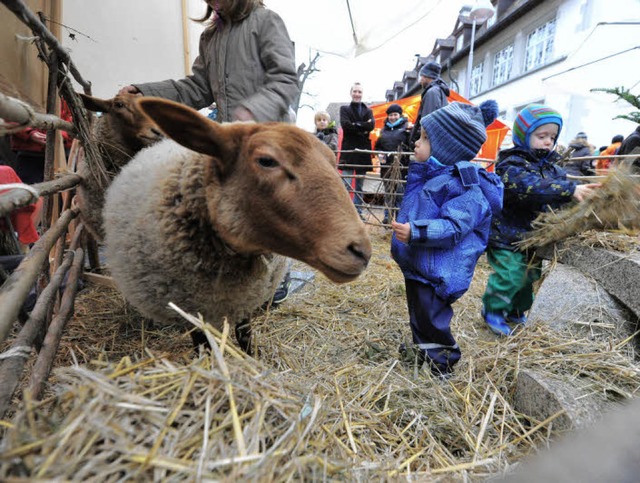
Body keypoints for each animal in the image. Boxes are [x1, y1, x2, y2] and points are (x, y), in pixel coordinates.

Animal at [103, 98, 372, 354]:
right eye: (266, 161)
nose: (362, 252)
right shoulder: (190, 308)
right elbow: (203, 344)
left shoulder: (246, 296)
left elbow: (244, 332)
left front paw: (253, 356)